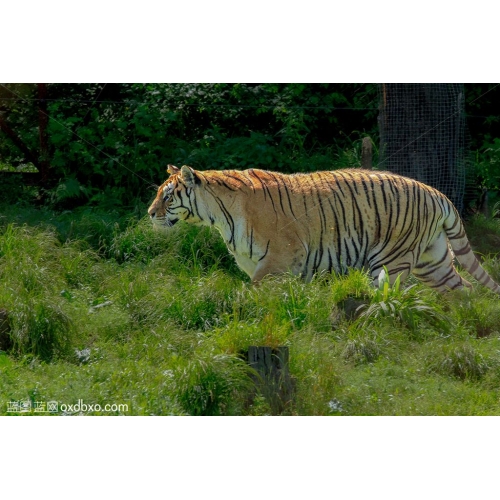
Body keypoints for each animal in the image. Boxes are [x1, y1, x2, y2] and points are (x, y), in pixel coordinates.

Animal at [146, 164, 500, 292]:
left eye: (167, 196)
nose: (149, 214)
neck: (219, 216)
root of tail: (436, 192)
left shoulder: (278, 262)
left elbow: (249, 299)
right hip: (433, 261)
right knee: (464, 290)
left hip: (392, 261)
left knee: (388, 297)